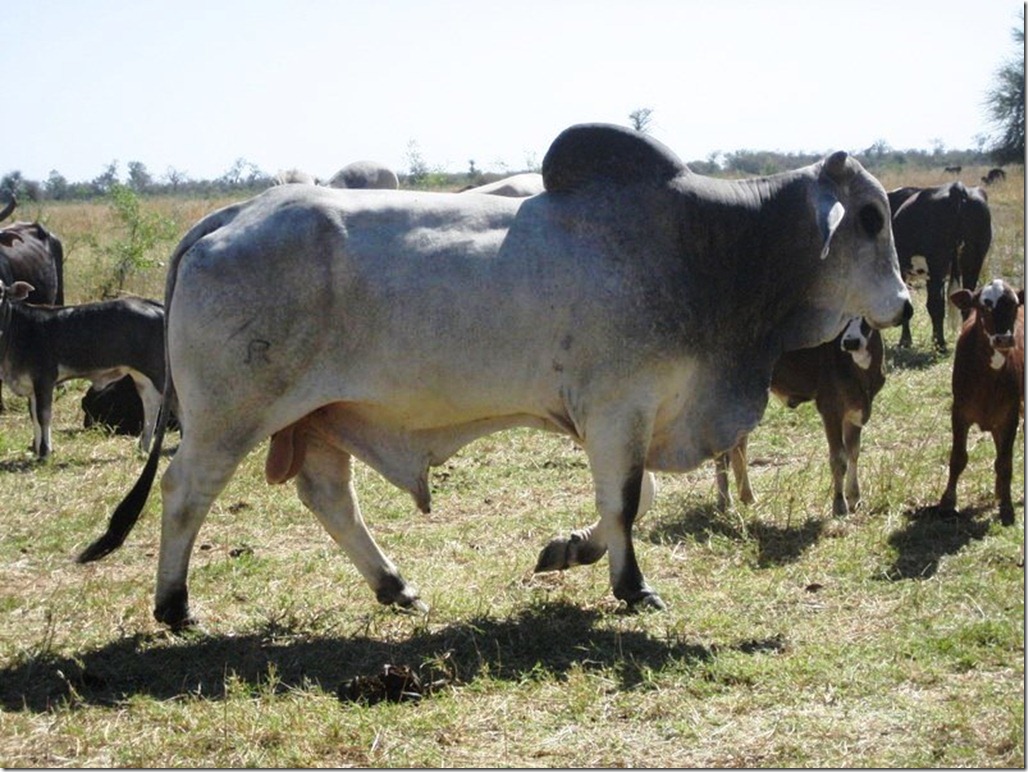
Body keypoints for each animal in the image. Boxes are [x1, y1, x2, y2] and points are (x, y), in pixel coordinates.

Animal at [0, 283, 163, 458]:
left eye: (2, 293)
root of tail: (156, 306)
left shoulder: (44, 379)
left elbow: (43, 416)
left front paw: (44, 453)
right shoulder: (31, 386)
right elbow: (34, 416)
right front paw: (38, 450)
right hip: (142, 376)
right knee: (151, 405)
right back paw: (143, 448)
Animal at [715, 316, 884, 516]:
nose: (851, 342)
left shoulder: (856, 411)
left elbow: (854, 451)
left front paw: (854, 497)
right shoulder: (830, 407)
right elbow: (838, 458)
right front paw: (839, 505)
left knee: (738, 445)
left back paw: (747, 497)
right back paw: (726, 503)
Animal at [888, 180, 990, 349]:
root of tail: (956, 188)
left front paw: (905, 341)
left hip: (936, 265)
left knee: (936, 305)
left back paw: (940, 343)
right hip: (973, 262)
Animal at [941, 277, 1023, 526]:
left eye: (1014, 305)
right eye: (984, 306)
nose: (1003, 338)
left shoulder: (1010, 416)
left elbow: (1004, 463)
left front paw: (1007, 507)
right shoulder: (959, 412)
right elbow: (958, 457)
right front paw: (948, 503)